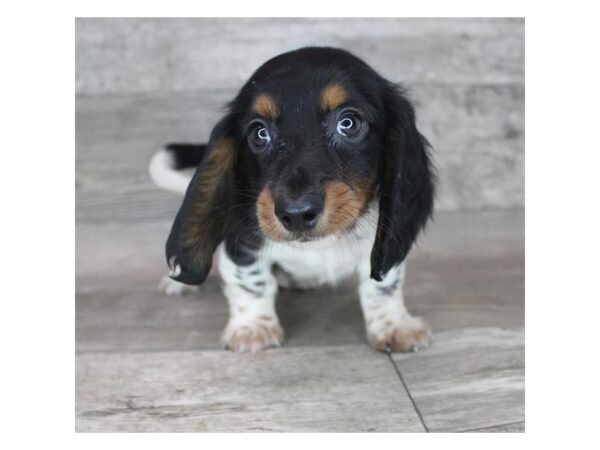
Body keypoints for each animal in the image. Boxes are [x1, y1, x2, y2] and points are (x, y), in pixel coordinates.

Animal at [148, 46, 434, 356]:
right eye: (259, 133)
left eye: (349, 123)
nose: (296, 214)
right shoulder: (242, 242)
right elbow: (251, 281)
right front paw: (253, 328)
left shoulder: (382, 244)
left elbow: (382, 284)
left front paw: (394, 325)